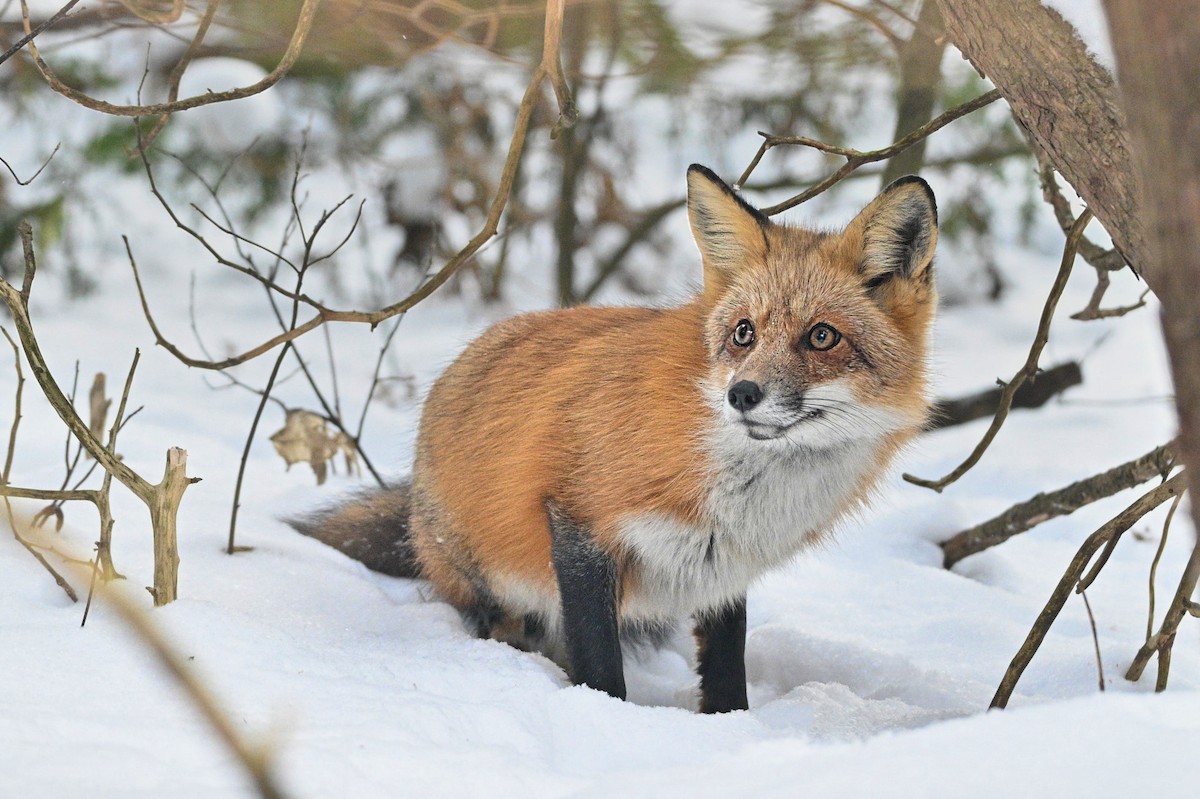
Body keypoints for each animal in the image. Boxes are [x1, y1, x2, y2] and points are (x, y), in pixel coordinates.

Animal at [294, 164, 938, 713]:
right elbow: (599, 663)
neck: (743, 485)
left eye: (822, 336)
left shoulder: (723, 570)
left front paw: (730, 727)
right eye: (744, 333)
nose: (743, 395)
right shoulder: (578, 520)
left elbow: (726, 666)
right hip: (485, 580)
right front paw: (607, 718)